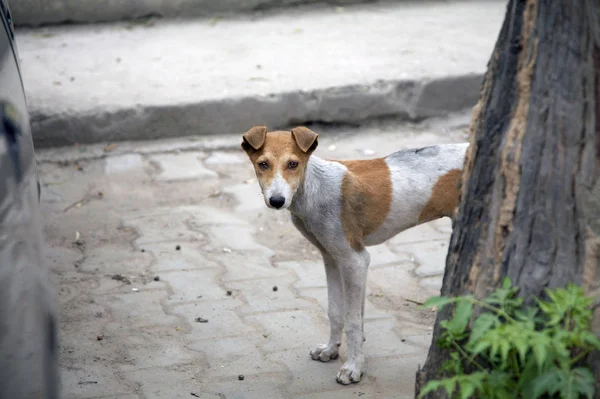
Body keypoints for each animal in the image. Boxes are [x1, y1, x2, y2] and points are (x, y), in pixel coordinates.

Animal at [241, 126, 466, 386]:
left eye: (293, 164)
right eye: (263, 164)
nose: (277, 201)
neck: (313, 188)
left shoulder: (355, 260)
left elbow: (353, 320)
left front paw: (353, 367)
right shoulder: (331, 258)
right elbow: (335, 311)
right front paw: (331, 350)